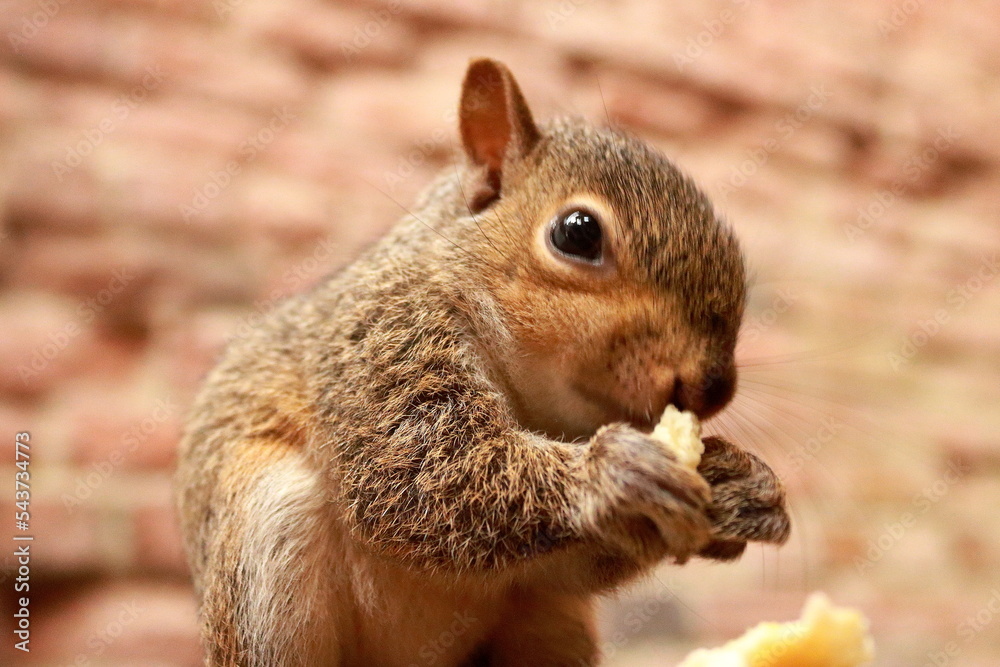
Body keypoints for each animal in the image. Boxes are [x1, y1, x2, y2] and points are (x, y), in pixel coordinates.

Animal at [175, 58, 790, 666]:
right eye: (578, 233)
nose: (713, 387)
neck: (534, 398)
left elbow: (566, 563)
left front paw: (744, 484)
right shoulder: (383, 338)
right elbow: (418, 476)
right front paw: (614, 473)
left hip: (552, 623)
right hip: (267, 538)